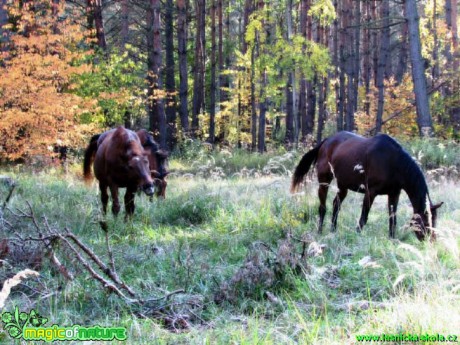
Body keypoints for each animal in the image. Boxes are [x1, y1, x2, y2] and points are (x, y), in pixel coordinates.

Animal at [292, 130, 442, 241]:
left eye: (435, 220)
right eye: (426, 220)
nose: (431, 241)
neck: (393, 162)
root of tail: (326, 141)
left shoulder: (394, 194)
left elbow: (392, 218)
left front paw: (392, 239)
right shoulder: (371, 192)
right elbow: (364, 217)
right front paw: (357, 235)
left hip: (343, 186)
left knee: (336, 204)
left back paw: (333, 230)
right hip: (324, 181)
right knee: (323, 207)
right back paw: (320, 231)